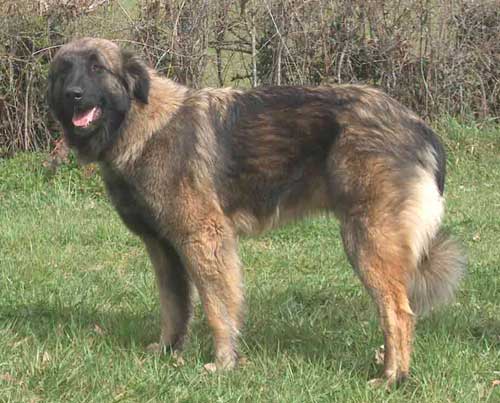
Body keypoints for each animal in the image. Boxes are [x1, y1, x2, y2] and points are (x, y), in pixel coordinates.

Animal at [47, 38, 464, 386]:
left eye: (98, 67)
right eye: (64, 70)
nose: (73, 95)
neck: (140, 124)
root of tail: (417, 126)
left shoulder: (204, 238)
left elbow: (217, 305)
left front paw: (223, 362)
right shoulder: (163, 248)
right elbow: (173, 306)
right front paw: (168, 350)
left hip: (366, 242)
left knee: (398, 312)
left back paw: (392, 377)